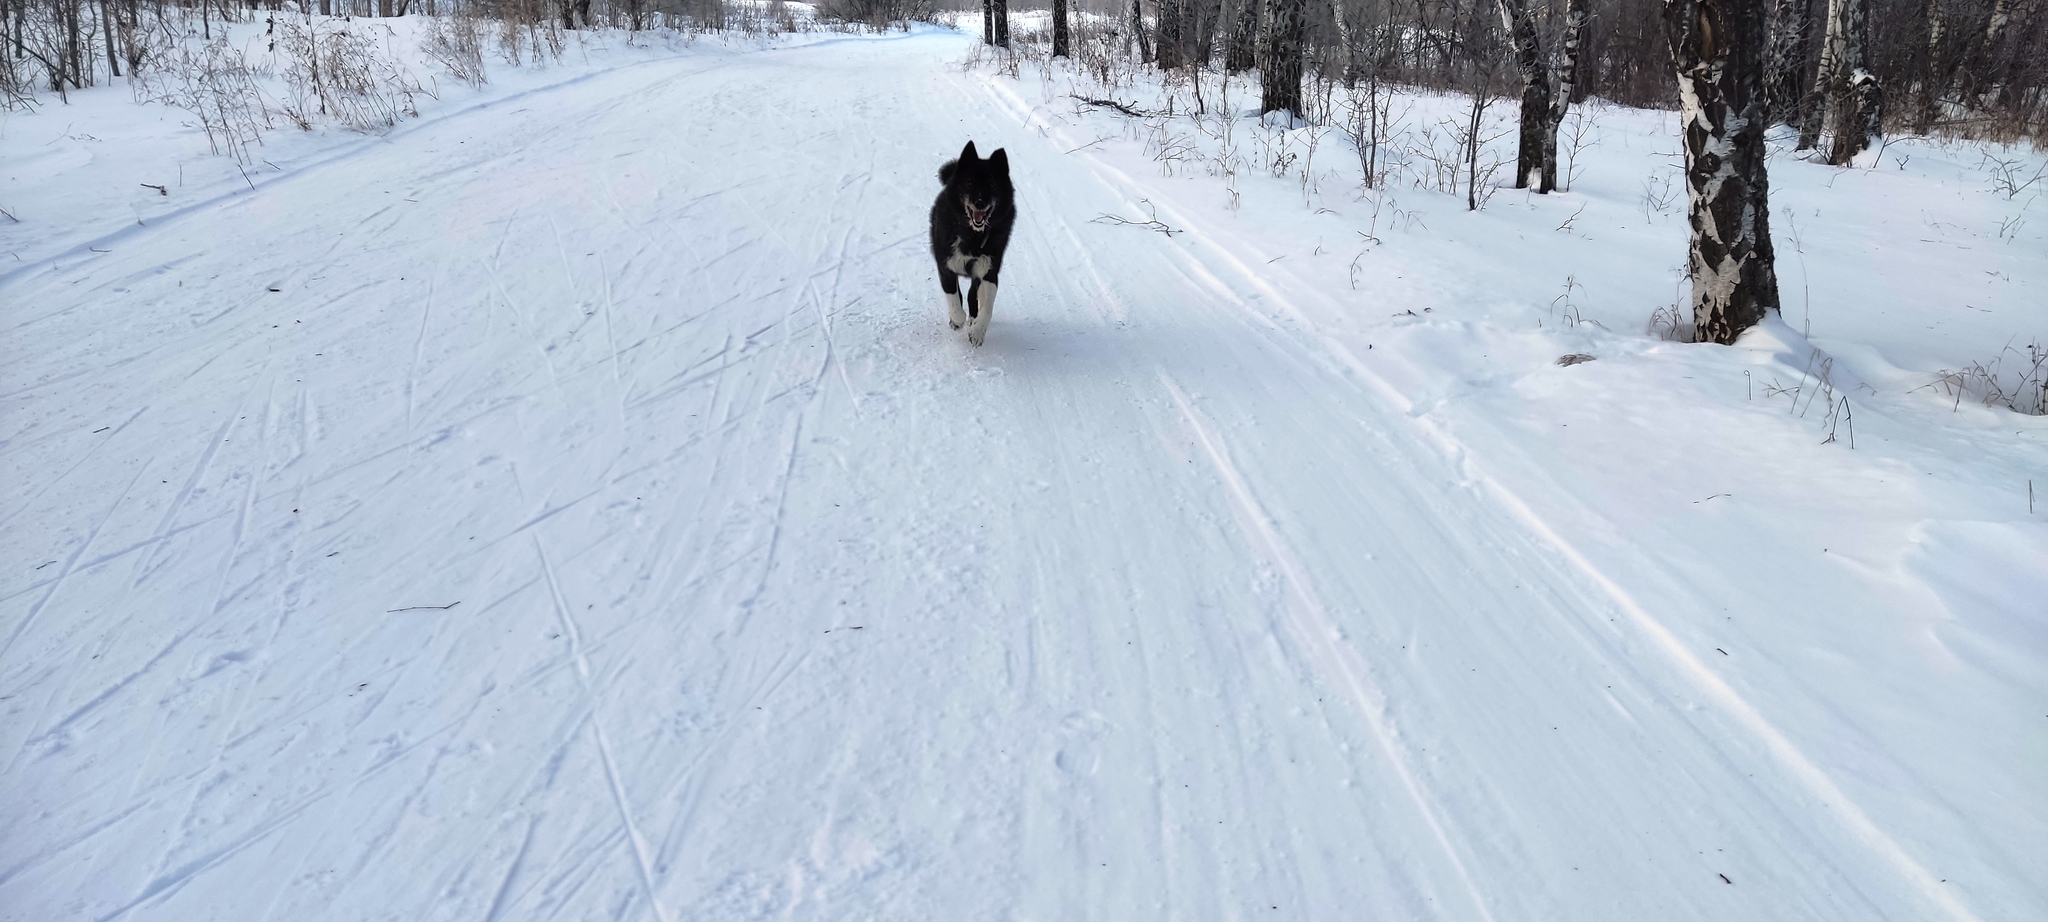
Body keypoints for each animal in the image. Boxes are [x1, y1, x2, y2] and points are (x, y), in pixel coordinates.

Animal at [933, 142, 1011, 348]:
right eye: (969, 183)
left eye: (992, 185)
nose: (980, 203)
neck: (973, 236)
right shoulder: (946, 268)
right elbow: (954, 299)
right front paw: (957, 320)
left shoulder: (988, 272)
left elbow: (987, 308)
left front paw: (977, 331)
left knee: (971, 294)